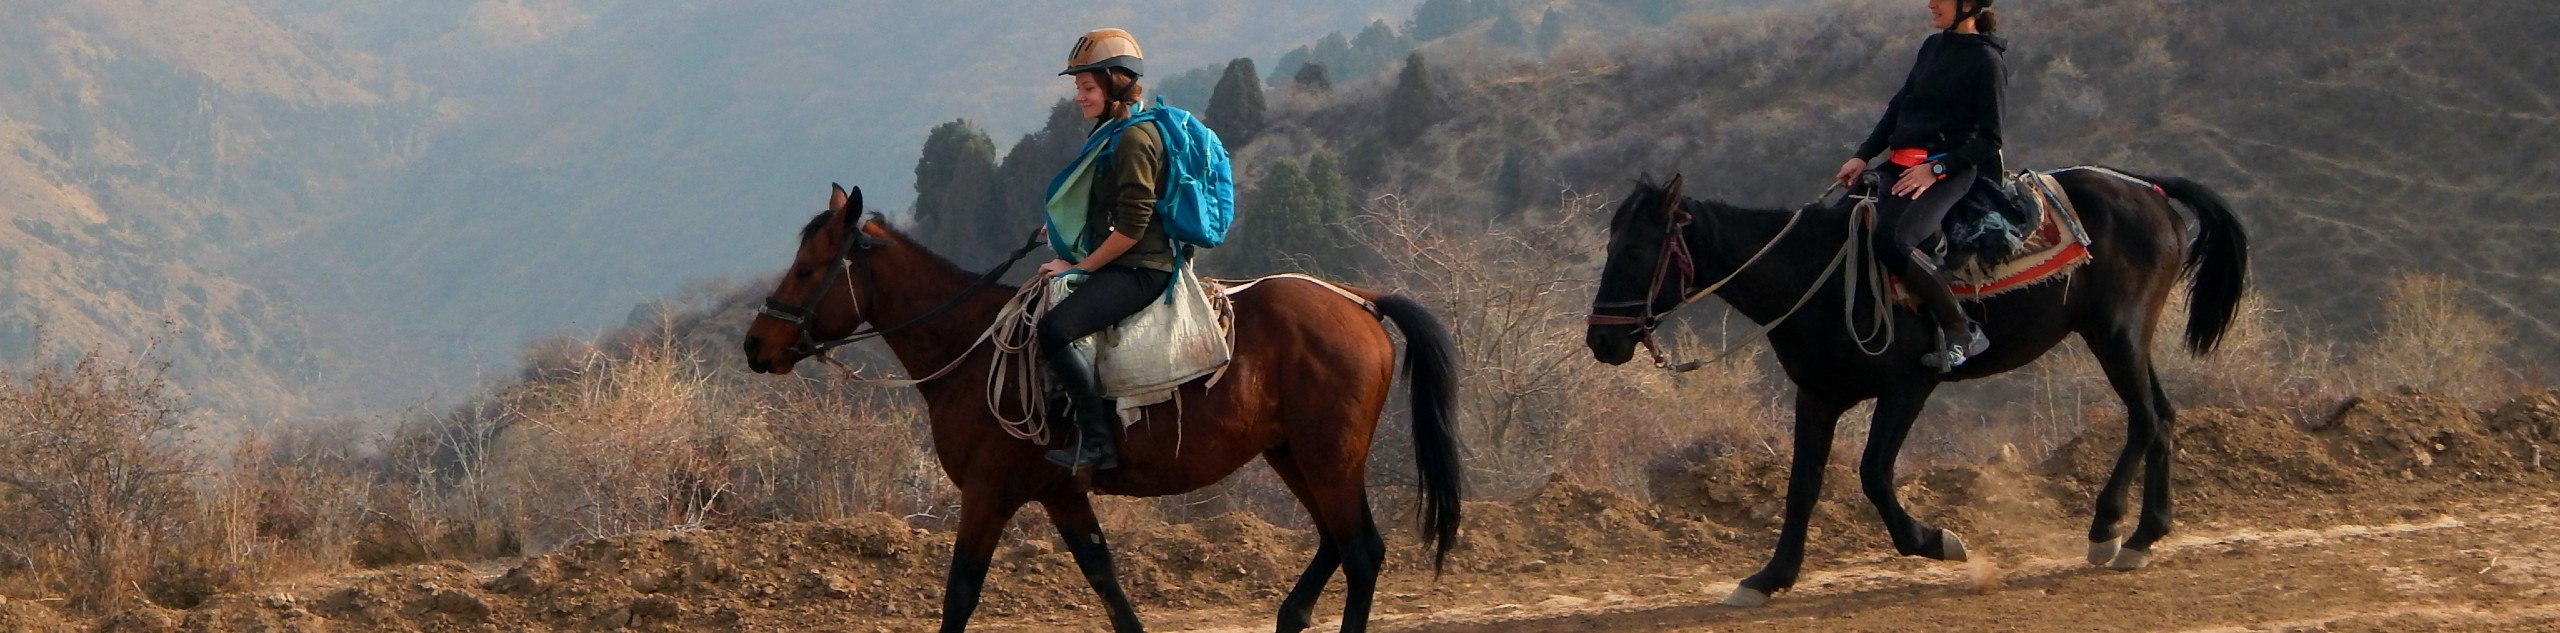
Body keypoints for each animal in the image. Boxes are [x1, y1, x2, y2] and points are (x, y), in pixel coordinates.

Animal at [742, 184, 1464, 633]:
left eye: (806, 270)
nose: (756, 345)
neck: (969, 349)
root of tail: (1358, 300)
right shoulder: (1061, 494)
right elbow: (1107, 582)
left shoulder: (988, 492)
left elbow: (960, 593)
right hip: (1293, 454)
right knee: (1336, 542)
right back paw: (1289, 616)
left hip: (1328, 456)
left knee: (1361, 550)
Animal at [1576, 169, 2242, 607]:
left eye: (1635, 249)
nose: (1601, 341)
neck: (1816, 276)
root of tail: (2146, 190)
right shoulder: (1816, 396)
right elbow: (1801, 487)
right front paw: (1769, 578)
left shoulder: (1908, 386)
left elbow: (1873, 474)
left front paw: (1936, 541)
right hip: (2119, 338)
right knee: (2160, 417)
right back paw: (2135, 535)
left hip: (2117, 334)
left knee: (2148, 419)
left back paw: (2115, 533)